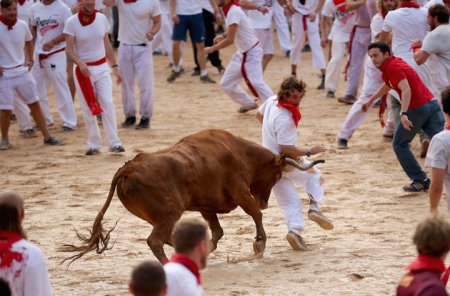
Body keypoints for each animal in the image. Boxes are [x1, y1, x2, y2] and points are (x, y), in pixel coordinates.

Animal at [64, 128, 324, 262]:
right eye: (277, 175)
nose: (265, 202)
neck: (238, 151)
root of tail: (127, 168)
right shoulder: (240, 192)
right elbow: (255, 215)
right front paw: (259, 244)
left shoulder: (206, 208)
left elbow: (218, 232)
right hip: (170, 211)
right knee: (155, 241)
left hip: (160, 216)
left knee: (166, 238)